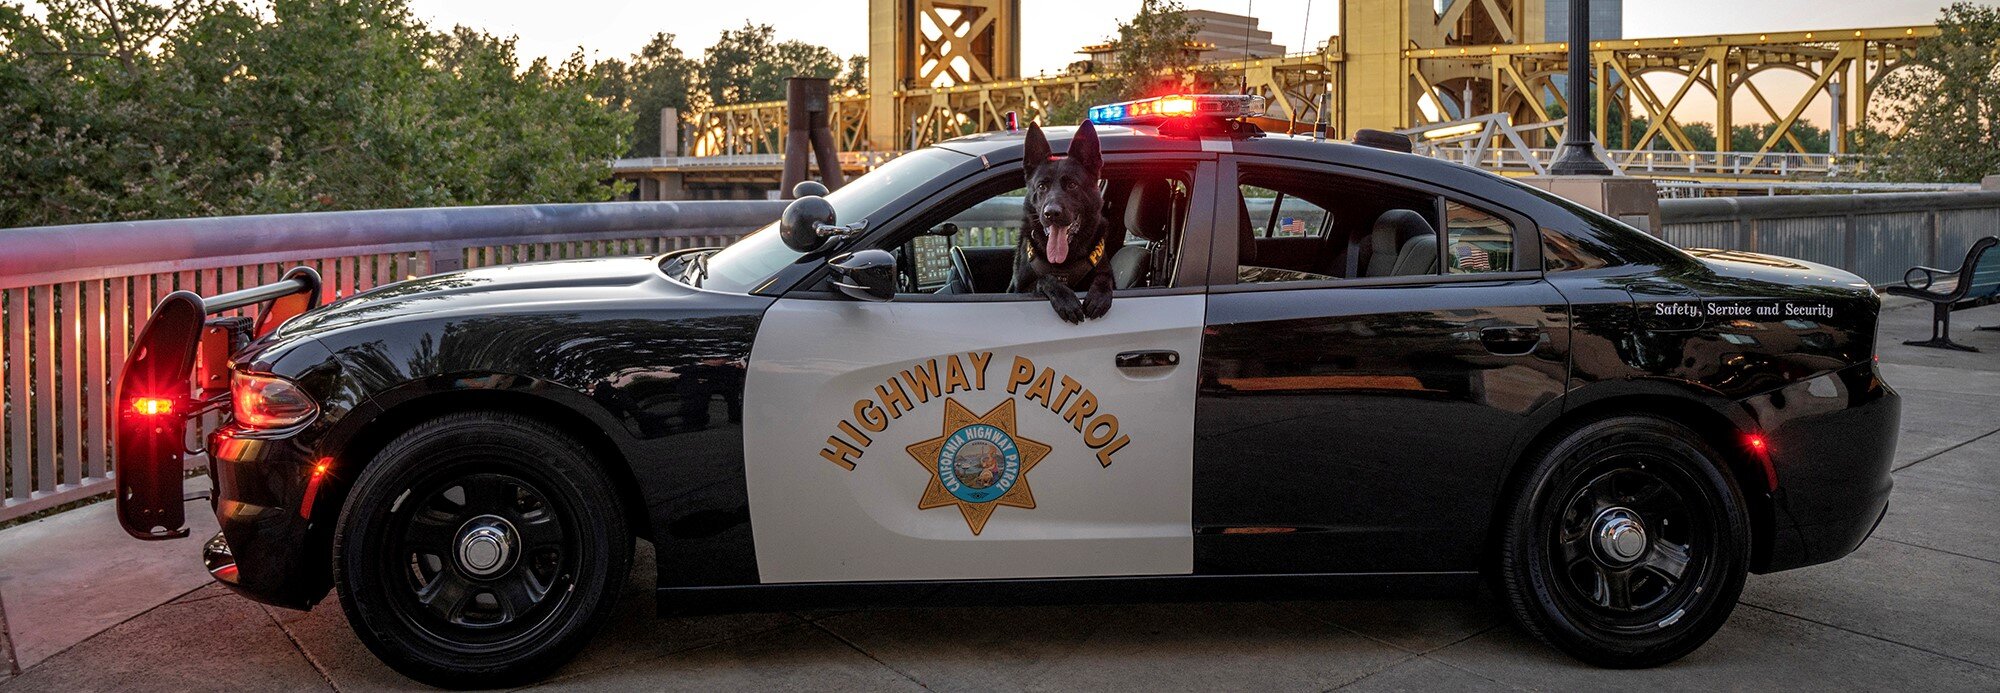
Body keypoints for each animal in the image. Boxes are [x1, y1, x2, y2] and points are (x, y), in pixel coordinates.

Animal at [1011, 120, 1113, 324]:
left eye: (1072, 185)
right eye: (1042, 186)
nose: (1051, 213)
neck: (1063, 263)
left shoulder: (1106, 273)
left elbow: (1104, 278)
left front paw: (1099, 296)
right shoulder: (1021, 289)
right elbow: (1045, 279)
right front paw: (1065, 299)